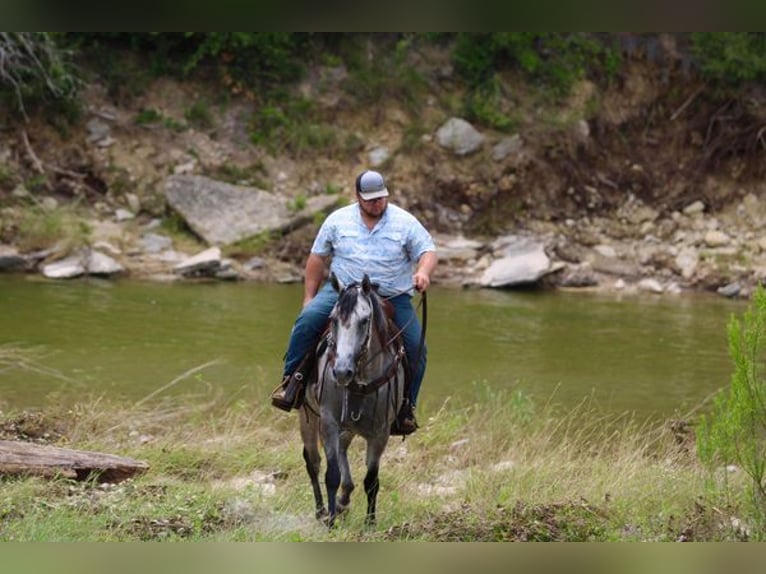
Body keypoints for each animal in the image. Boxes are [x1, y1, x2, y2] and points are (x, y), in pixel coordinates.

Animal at [300, 274, 408, 528]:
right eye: (333, 319)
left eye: (365, 320)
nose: (341, 371)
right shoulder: (328, 422)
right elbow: (331, 475)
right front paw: (330, 520)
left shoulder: (381, 433)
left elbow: (371, 480)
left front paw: (370, 522)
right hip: (307, 416)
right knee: (313, 461)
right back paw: (322, 510)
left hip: (348, 428)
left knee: (341, 451)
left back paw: (343, 501)